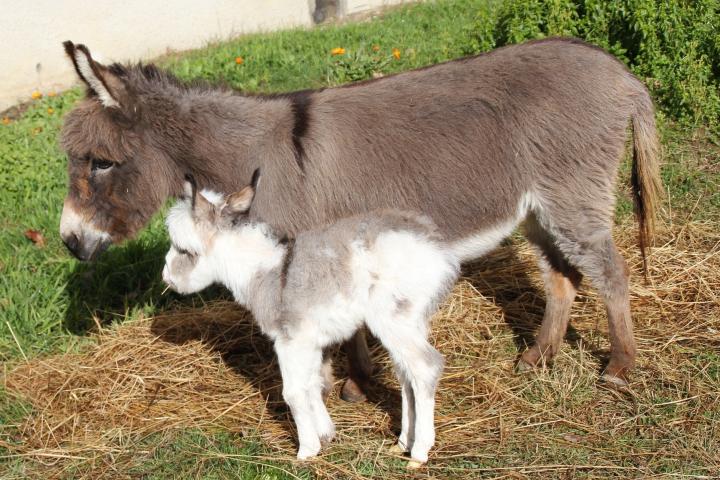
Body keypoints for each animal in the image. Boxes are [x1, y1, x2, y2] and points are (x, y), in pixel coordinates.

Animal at [160, 180, 458, 464]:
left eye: (185, 251)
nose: (166, 277)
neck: (269, 274)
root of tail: (432, 243)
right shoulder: (310, 342)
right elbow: (313, 384)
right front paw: (325, 434)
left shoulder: (289, 340)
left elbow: (293, 391)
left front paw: (306, 449)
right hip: (412, 320)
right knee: (407, 374)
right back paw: (402, 443)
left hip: (392, 319)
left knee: (426, 367)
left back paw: (419, 453)